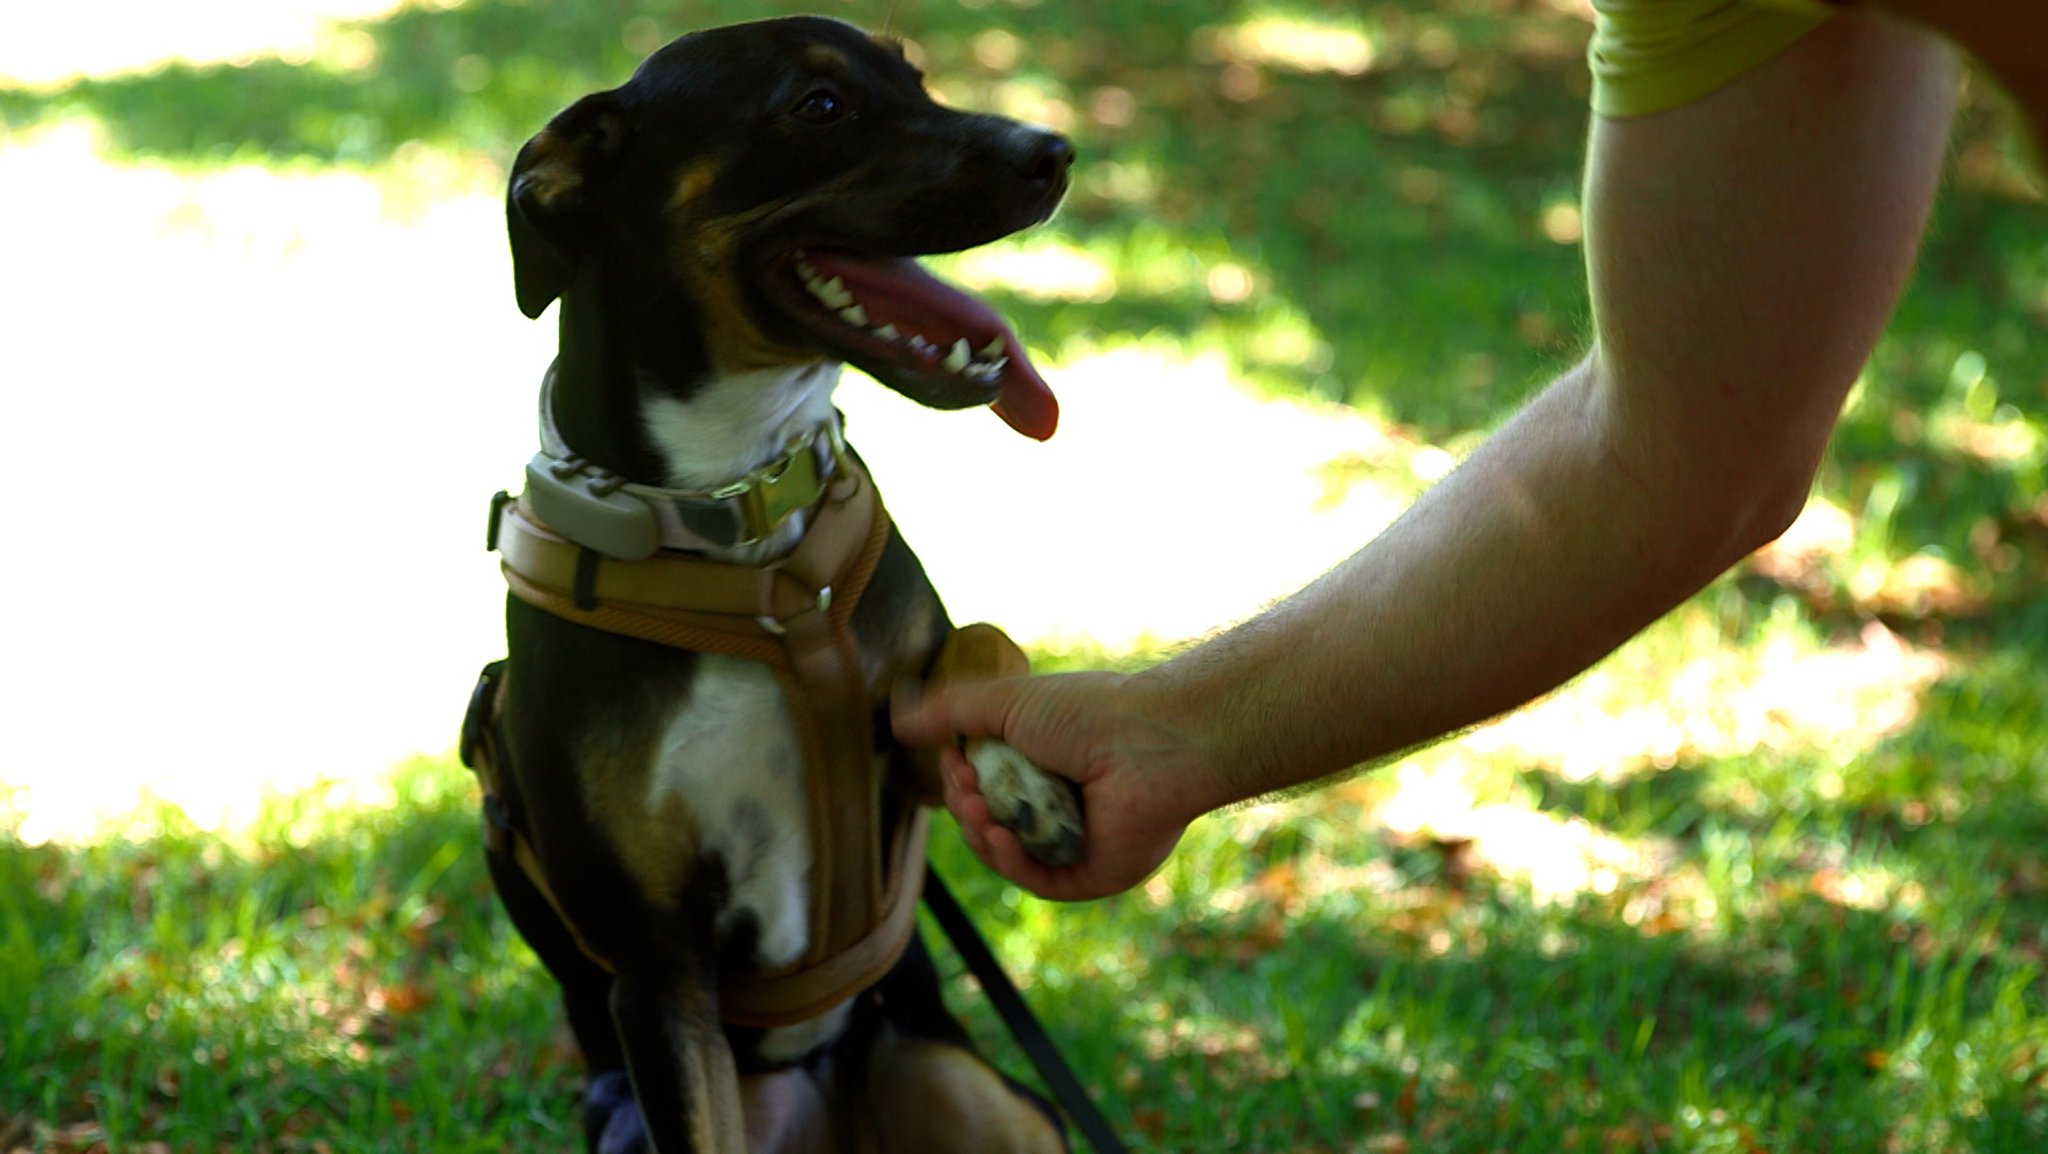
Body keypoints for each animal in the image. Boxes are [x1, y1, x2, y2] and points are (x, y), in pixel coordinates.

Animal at [466, 15, 1097, 1154]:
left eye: (915, 77)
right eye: (819, 107)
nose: (1055, 152)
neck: (734, 532)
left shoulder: (901, 770)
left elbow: (979, 640)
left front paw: (1022, 780)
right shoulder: (659, 972)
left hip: (983, 1096)